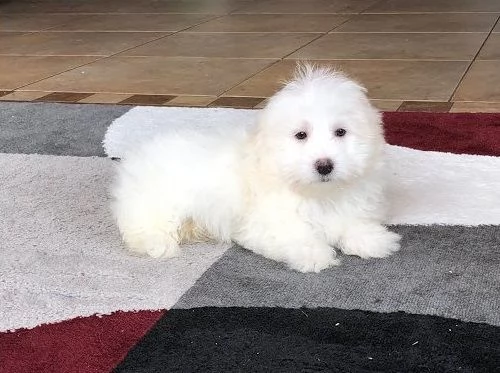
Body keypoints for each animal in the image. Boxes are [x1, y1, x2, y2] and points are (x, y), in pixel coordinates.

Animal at [111, 64, 400, 272]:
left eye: (341, 132)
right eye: (301, 135)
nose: (324, 165)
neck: (319, 194)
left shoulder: (352, 202)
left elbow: (353, 222)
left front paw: (373, 239)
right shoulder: (267, 222)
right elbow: (295, 234)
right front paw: (313, 254)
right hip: (156, 200)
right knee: (143, 223)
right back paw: (157, 243)